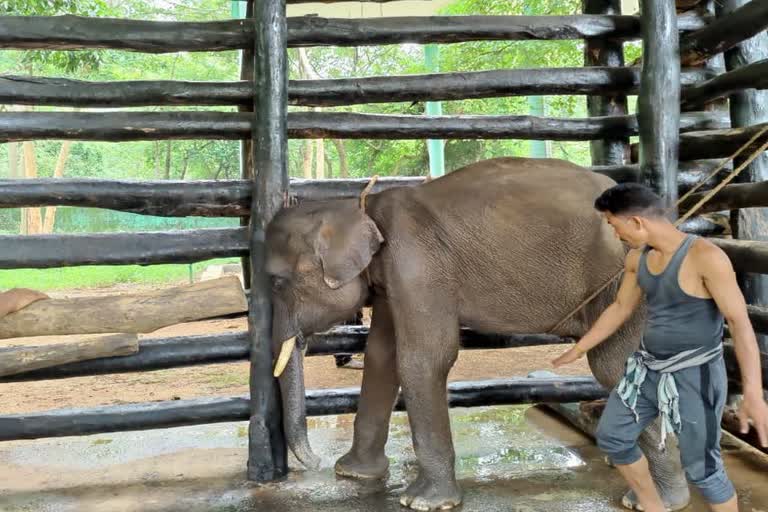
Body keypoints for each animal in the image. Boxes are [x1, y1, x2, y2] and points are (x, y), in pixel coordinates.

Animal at [264, 157, 688, 512]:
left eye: (277, 281)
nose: (314, 463)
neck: (359, 206)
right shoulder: (393, 281)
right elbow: (382, 357)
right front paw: (353, 473)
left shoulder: (415, 265)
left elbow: (423, 358)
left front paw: (423, 503)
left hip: (623, 280)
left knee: (613, 365)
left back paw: (659, 500)